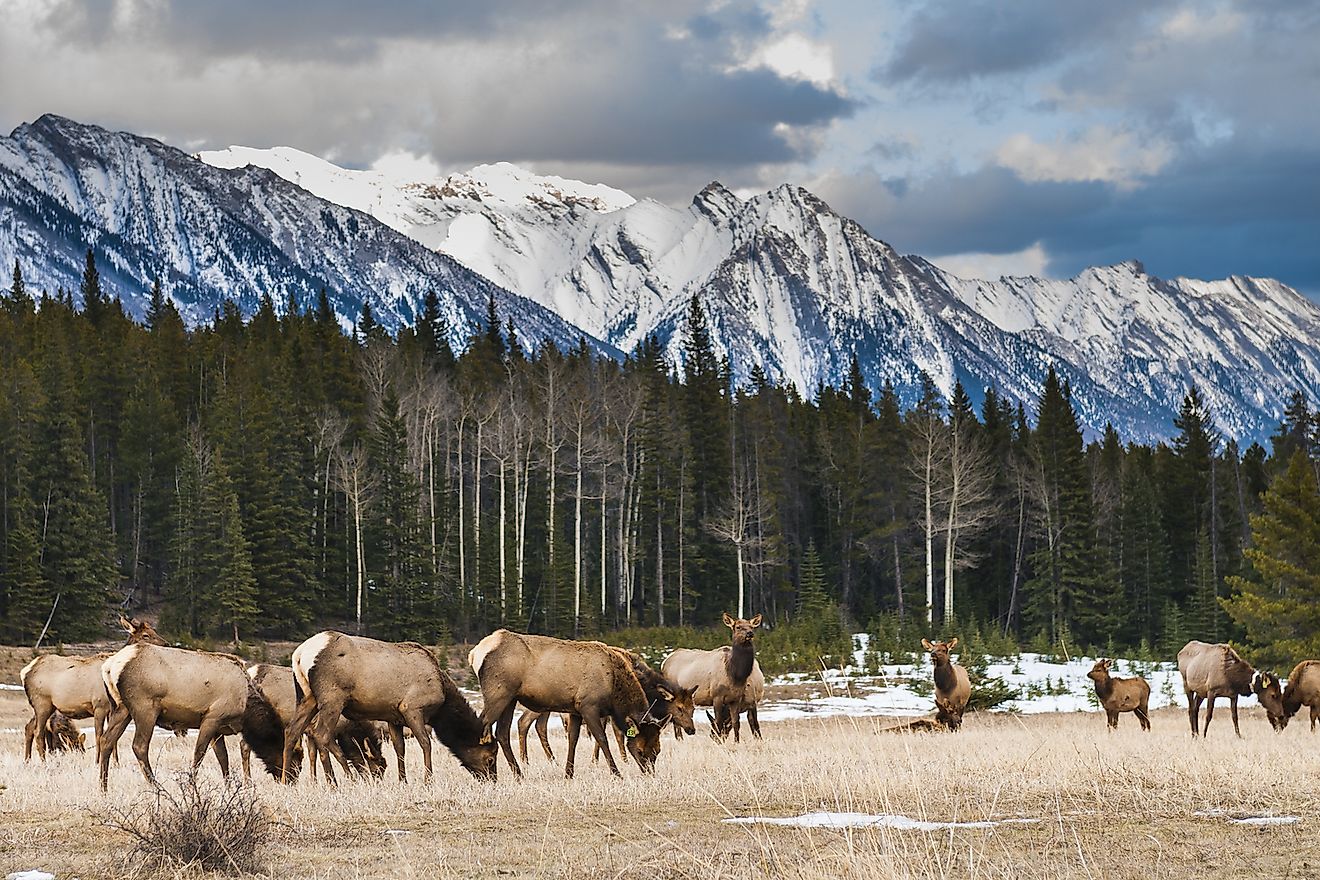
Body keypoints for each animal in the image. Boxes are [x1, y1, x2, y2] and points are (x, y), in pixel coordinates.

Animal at [20, 612, 166, 765]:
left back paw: (27, 760)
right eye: (145, 635)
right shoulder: (99, 705)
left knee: (29, 727)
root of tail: (25, 671)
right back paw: (43, 762)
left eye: (154, 631)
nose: (166, 644)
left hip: (45, 706)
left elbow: (113, 739)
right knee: (38, 732)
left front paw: (116, 763)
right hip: (42, 703)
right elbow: (99, 735)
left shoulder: (111, 708)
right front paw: (97, 762)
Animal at [96, 643, 298, 796]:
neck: (245, 708)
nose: (291, 780)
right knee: (139, 745)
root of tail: (109, 667)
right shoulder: (212, 717)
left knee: (107, 740)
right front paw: (192, 786)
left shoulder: (219, 729)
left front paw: (229, 788)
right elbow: (199, 753)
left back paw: (103, 788)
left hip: (121, 708)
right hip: (145, 708)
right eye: (296, 757)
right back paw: (157, 786)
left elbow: (223, 758)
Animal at [283, 633, 496, 786]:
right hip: (332, 699)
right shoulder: (412, 708)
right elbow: (426, 743)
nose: (493, 780)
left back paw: (285, 780)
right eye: (491, 758)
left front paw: (403, 781)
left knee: (291, 731)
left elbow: (399, 748)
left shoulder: (394, 717)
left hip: (306, 697)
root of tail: (299, 655)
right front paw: (428, 781)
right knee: (321, 735)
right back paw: (335, 783)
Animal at [469, 630, 660, 781]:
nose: (650, 773)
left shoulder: (575, 710)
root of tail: (474, 653)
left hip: (510, 699)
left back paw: (519, 775)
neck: (614, 686)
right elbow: (602, 738)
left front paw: (568, 774)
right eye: (640, 751)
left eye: (657, 751)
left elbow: (572, 740)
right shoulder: (588, 706)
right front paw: (616, 773)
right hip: (498, 694)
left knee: (502, 733)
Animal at [660, 612, 765, 744]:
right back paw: (680, 740)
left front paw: (736, 742)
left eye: (752, 626)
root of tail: (665, 661)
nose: (750, 634)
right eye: (738, 627)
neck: (735, 675)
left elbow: (737, 723)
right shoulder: (717, 697)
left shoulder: (737, 700)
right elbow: (719, 721)